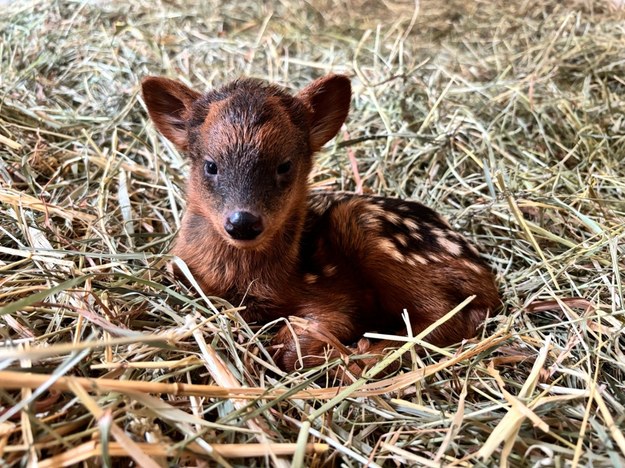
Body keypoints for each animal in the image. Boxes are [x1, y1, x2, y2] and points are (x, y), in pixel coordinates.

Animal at [141, 76, 498, 376]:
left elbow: (312, 334)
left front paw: (317, 350)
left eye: (285, 165)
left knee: (447, 317)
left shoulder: (334, 299)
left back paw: (363, 356)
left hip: (364, 224)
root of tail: (486, 277)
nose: (243, 223)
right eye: (211, 165)